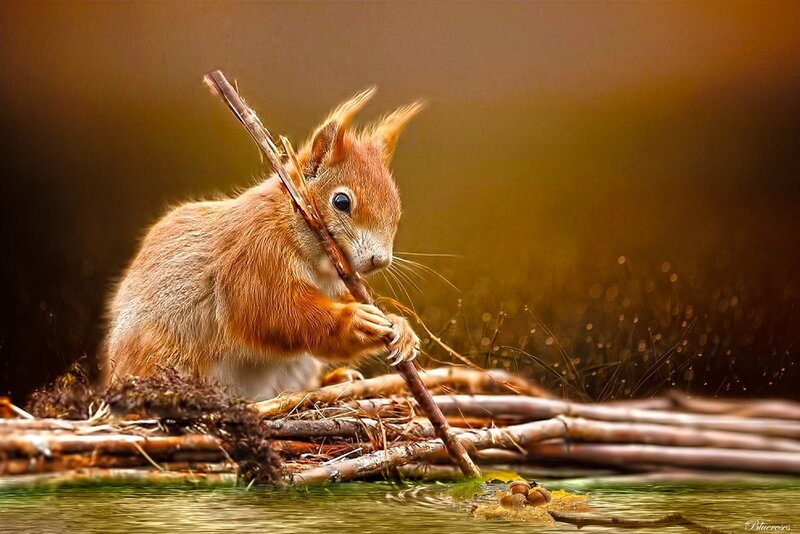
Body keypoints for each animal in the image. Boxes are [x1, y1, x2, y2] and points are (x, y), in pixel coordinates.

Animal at [102, 88, 422, 400]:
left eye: (396, 209)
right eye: (341, 201)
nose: (379, 260)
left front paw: (400, 327)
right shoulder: (254, 256)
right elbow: (273, 312)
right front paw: (355, 320)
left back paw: (336, 379)